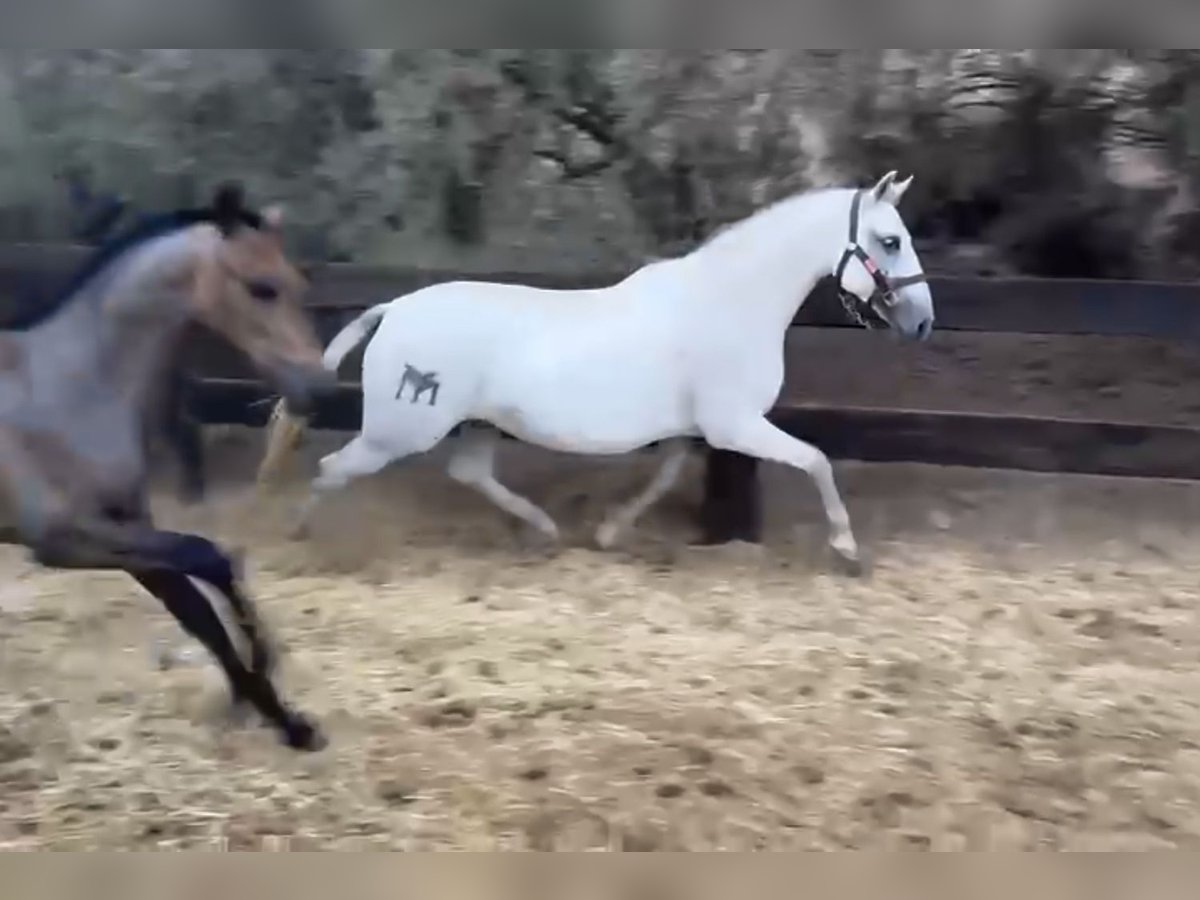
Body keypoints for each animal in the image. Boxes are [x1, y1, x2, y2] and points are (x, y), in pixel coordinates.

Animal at [0, 183, 336, 751]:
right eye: (261, 288)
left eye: (298, 282)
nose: (320, 388)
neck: (69, 387)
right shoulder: (63, 539)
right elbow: (211, 558)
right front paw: (263, 671)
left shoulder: (129, 528)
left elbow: (195, 609)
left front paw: (283, 717)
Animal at [256, 171, 934, 572]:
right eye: (890, 241)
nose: (923, 323)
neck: (728, 301)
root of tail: (394, 308)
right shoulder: (735, 425)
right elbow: (816, 461)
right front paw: (847, 548)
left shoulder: (695, 430)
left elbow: (665, 474)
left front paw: (609, 532)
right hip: (398, 433)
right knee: (332, 468)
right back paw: (296, 535)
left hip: (476, 425)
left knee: (467, 473)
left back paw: (546, 529)